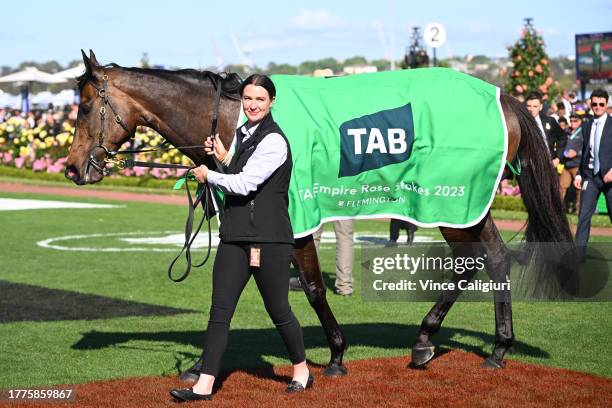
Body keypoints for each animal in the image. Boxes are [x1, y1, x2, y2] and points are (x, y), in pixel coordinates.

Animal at [65, 51, 572, 380]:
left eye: (86, 106)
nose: (71, 167)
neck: (235, 118)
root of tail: (502, 98)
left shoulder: (295, 215)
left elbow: (310, 287)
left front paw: (335, 355)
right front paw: (198, 366)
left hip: (452, 202)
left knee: (478, 260)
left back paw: (445, 342)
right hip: (465, 205)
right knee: (492, 259)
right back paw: (483, 346)